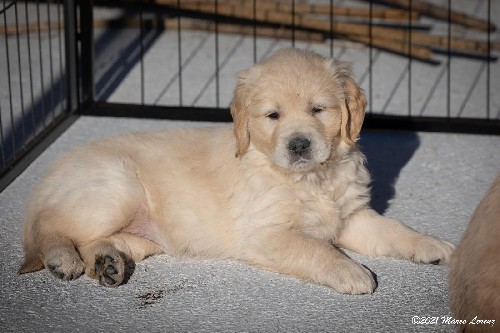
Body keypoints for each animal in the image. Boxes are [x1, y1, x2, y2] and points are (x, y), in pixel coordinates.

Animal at [18, 47, 454, 294]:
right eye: (273, 116)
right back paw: (63, 260)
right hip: (116, 189)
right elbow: (316, 248)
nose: (299, 145)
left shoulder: (350, 216)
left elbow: (392, 229)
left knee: (95, 240)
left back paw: (107, 264)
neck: (309, 179)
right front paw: (352, 273)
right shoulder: (265, 233)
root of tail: (47, 177)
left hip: (142, 236)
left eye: (318, 109)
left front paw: (433, 245)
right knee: (50, 231)